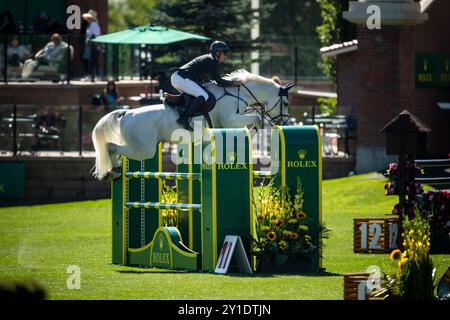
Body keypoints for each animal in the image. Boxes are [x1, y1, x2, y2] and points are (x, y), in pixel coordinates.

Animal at [93, 69, 294, 180]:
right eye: (285, 103)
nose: (283, 122)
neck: (238, 93)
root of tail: (126, 113)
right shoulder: (230, 119)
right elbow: (257, 120)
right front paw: (252, 133)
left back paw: (113, 170)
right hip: (143, 149)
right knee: (111, 147)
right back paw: (113, 171)